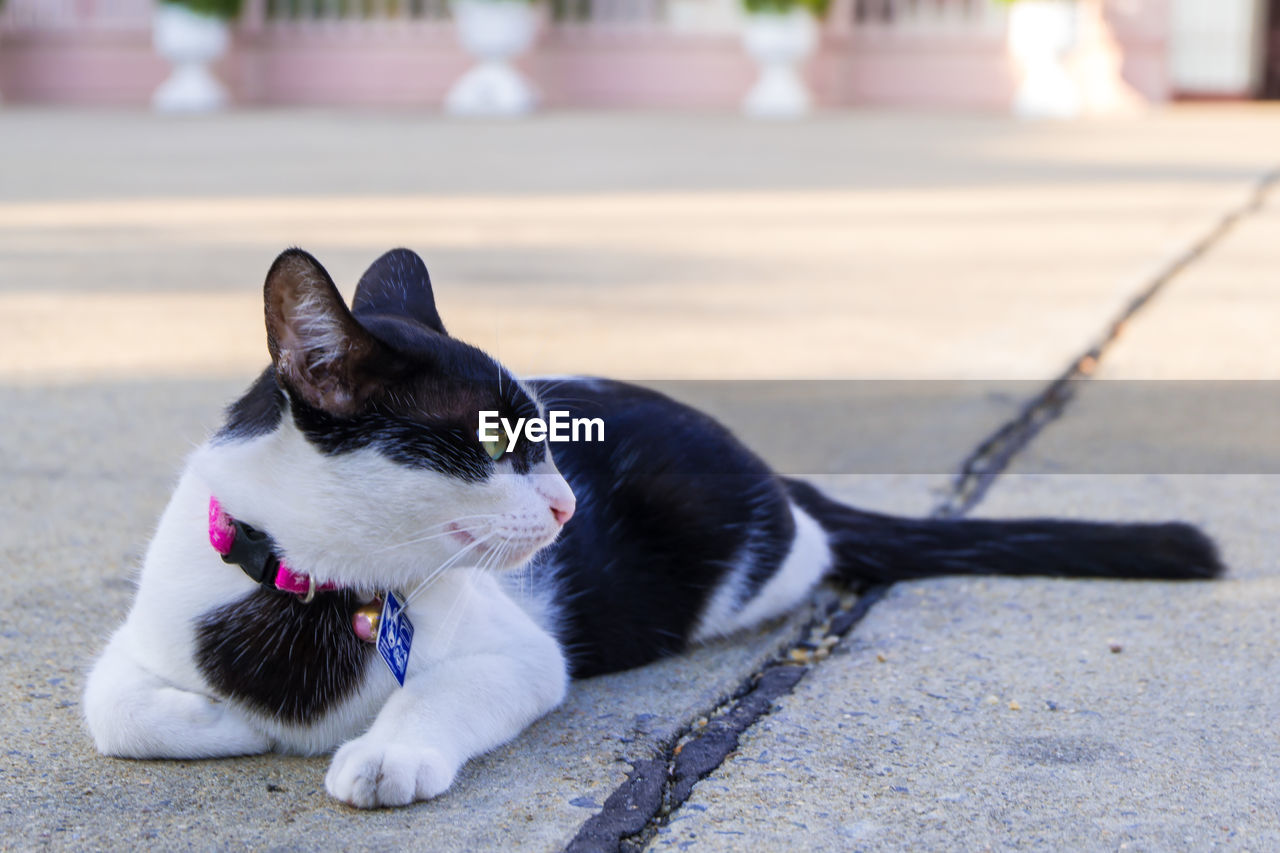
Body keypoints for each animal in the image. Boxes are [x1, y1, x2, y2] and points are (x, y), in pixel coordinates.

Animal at [85, 244, 1223, 804]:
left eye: (547, 441)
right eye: (493, 440)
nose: (564, 504)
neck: (322, 584)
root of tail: (777, 475)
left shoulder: (521, 654)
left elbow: (438, 697)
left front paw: (379, 748)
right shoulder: (140, 640)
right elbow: (124, 711)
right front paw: (246, 720)